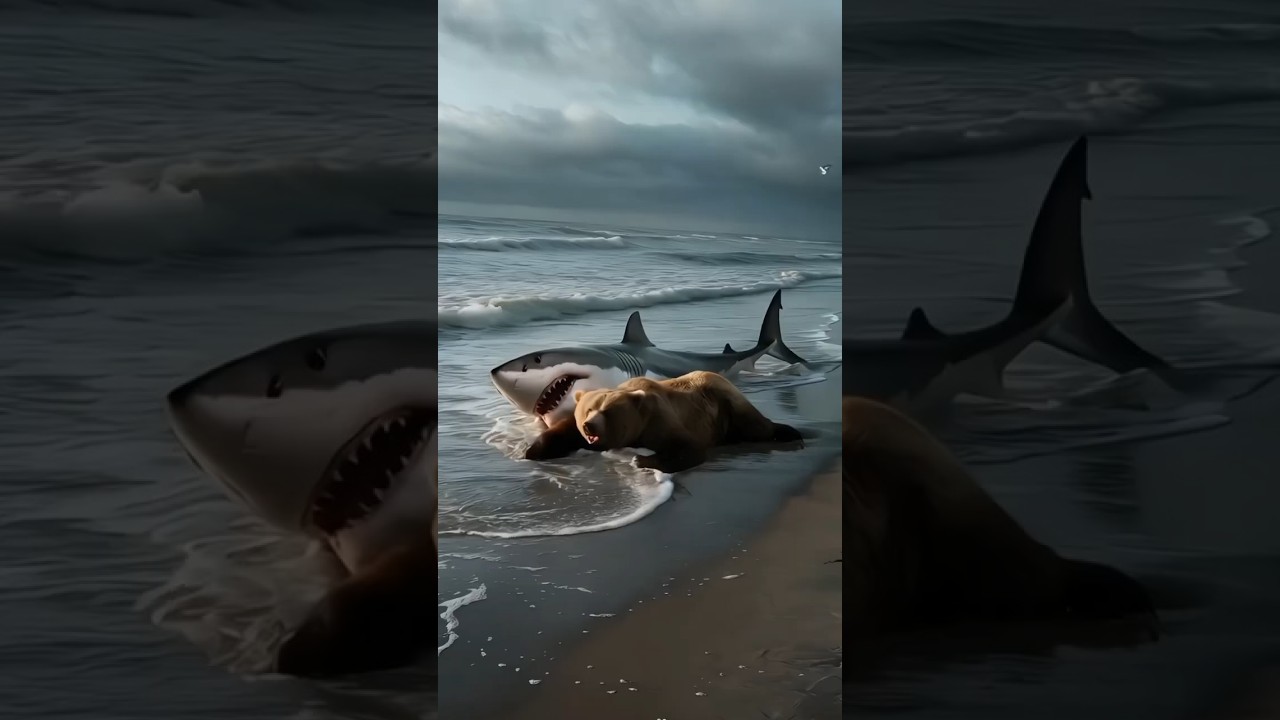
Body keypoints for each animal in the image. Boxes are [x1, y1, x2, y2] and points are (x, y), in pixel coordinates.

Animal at [524, 370, 803, 474]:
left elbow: (686, 447)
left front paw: (642, 459)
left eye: (609, 411)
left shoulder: (659, 420)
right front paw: (532, 450)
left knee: (756, 425)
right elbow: (562, 433)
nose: (590, 425)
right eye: (589, 409)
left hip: (727, 404)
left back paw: (789, 431)